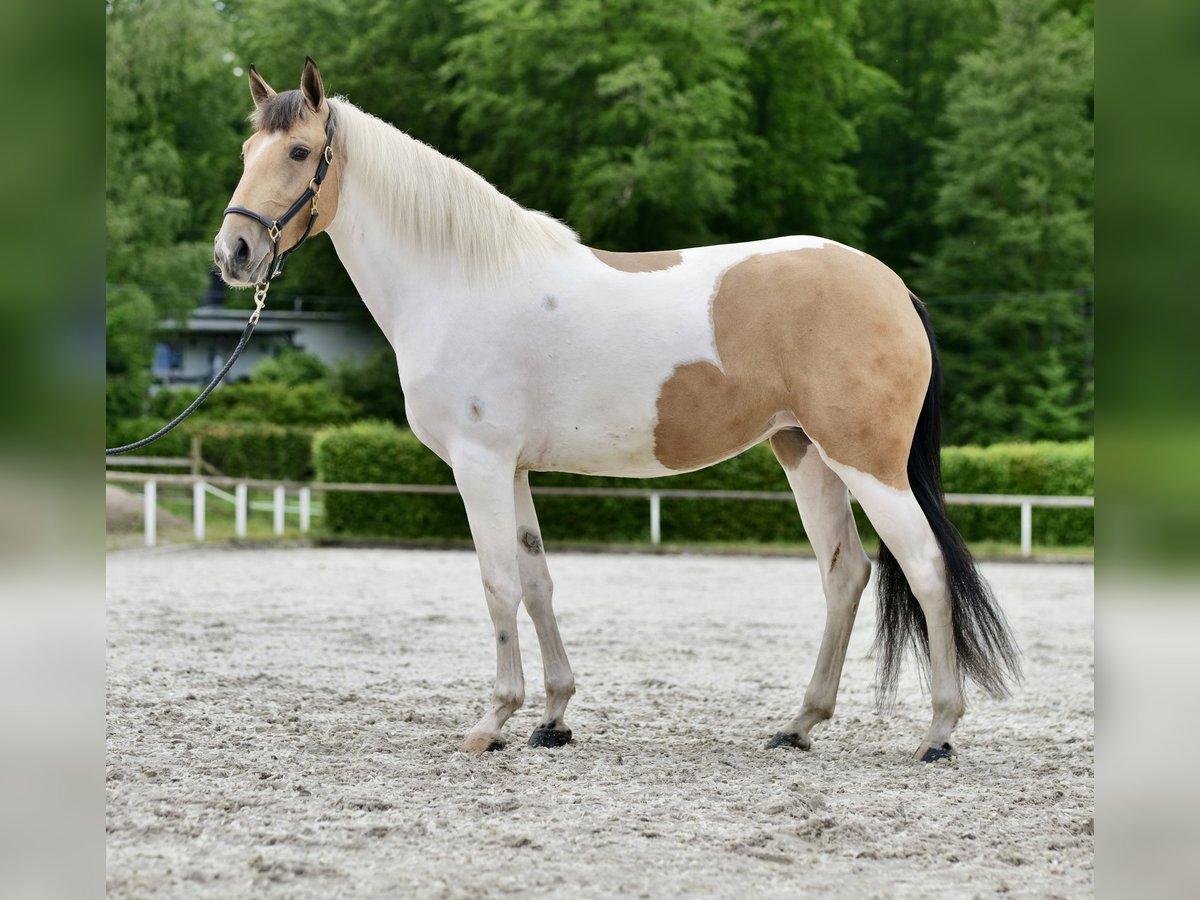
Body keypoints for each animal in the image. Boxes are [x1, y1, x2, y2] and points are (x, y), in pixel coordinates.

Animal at [211, 58, 1017, 763]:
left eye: (300, 150)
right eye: (247, 149)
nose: (235, 253)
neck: (462, 281)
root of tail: (892, 286)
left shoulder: (480, 464)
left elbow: (498, 583)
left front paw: (492, 722)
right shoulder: (513, 470)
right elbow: (537, 582)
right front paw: (553, 718)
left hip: (867, 463)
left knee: (924, 567)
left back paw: (938, 733)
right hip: (805, 453)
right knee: (845, 573)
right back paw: (799, 726)